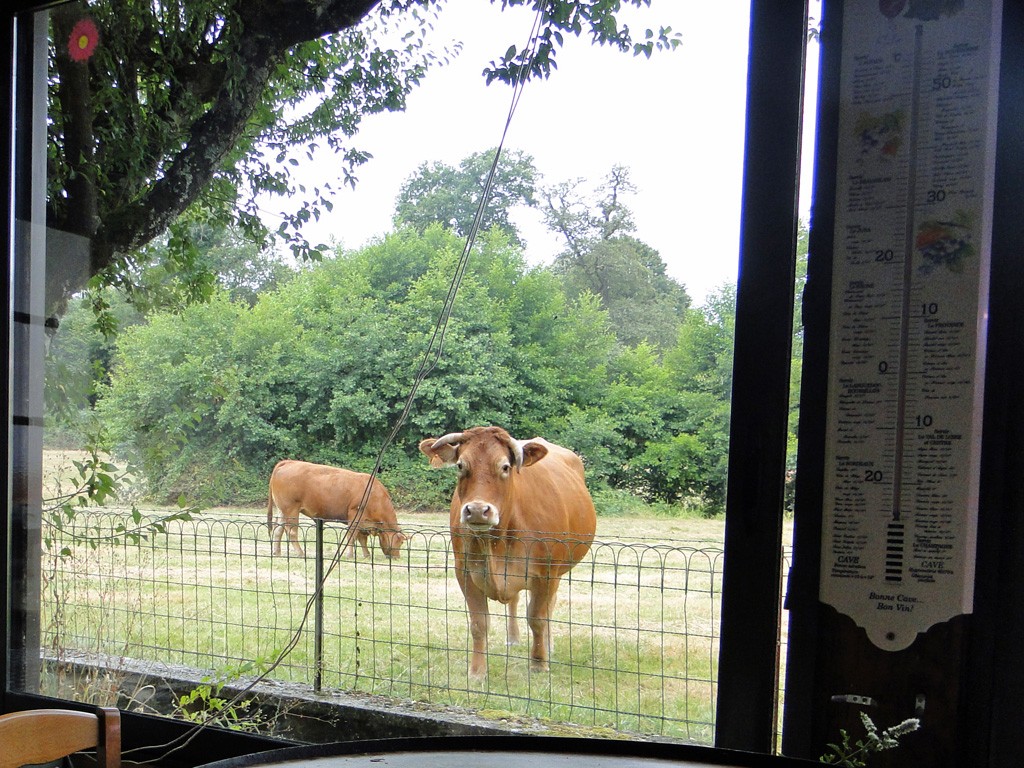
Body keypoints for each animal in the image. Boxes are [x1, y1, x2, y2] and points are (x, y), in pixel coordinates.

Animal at [266, 460, 405, 561]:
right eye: (401, 542)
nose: (397, 557)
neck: (375, 495)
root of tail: (289, 462)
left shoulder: (363, 521)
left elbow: (361, 538)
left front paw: (366, 555)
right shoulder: (355, 515)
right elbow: (352, 536)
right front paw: (350, 555)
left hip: (283, 510)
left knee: (278, 530)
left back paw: (276, 552)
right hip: (291, 510)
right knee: (292, 532)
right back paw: (300, 552)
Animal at [417, 428, 598, 679]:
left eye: (505, 466)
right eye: (461, 465)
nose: (477, 510)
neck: (495, 543)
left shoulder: (547, 573)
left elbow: (537, 617)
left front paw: (539, 663)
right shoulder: (465, 572)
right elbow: (479, 623)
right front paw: (477, 671)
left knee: (548, 606)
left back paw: (548, 644)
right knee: (514, 600)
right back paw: (513, 638)